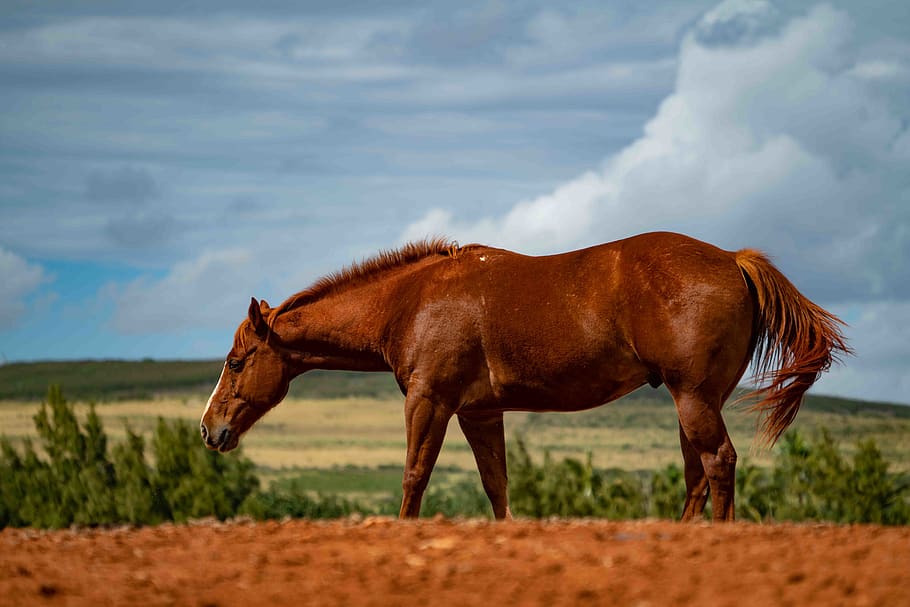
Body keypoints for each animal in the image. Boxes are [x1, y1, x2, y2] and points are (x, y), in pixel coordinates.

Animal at [200, 232, 849, 521]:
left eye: (235, 361)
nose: (210, 430)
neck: (410, 301)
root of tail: (734, 260)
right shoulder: (480, 413)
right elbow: (498, 487)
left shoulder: (430, 402)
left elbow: (414, 478)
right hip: (695, 401)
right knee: (698, 474)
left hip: (693, 399)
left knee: (719, 464)